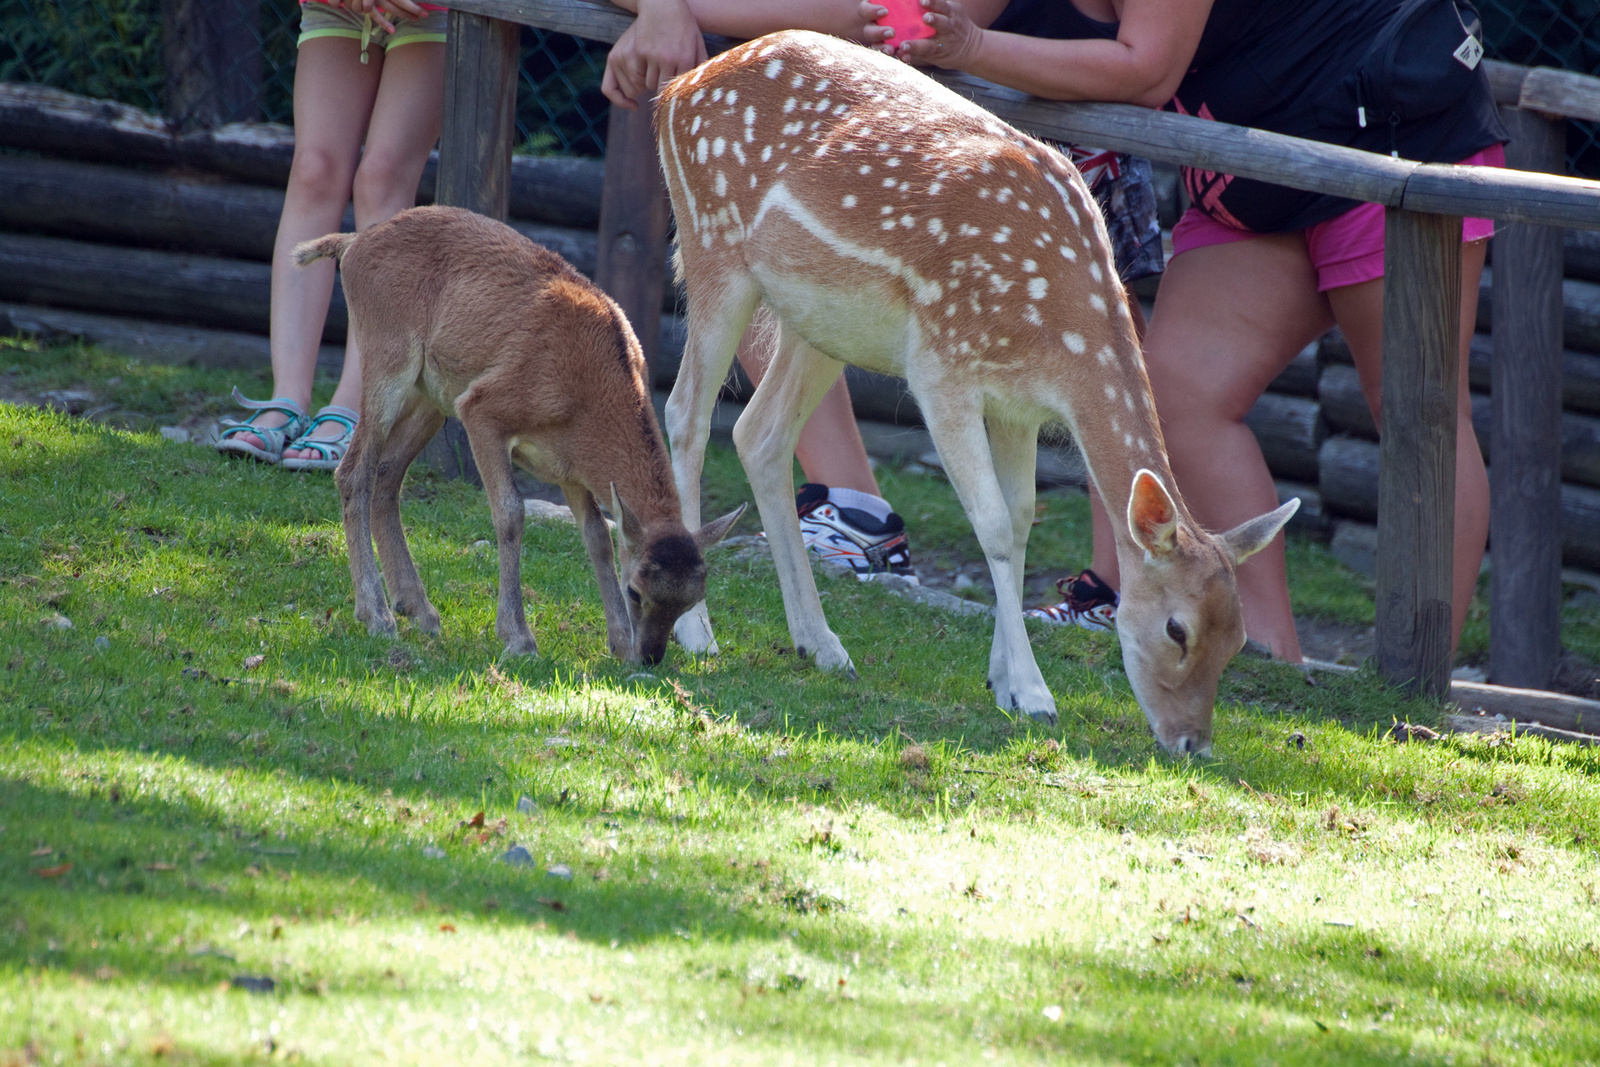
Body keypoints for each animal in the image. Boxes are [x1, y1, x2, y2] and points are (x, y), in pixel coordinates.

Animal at [294, 204, 742, 662]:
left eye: (692, 600)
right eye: (635, 591)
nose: (650, 657)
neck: (584, 401)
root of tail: (352, 245)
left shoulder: (570, 469)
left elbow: (597, 536)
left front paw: (616, 642)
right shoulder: (482, 407)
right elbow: (511, 513)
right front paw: (518, 638)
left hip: (432, 397)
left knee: (387, 475)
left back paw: (419, 610)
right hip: (387, 356)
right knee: (354, 472)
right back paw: (377, 615)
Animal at [656, 31, 1292, 751]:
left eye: (1237, 639)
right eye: (1176, 627)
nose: (1192, 743)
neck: (1057, 332)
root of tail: (674, 91)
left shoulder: (1018, 404)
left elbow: (1018, 521)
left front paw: (1001, 680)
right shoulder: (943, 366)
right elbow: (990, 523)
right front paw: (1035, 695)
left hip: (818, 324)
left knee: (759, 433)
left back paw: (821, 645)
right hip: (713, 246)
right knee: (687, 413)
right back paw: (698, 632)